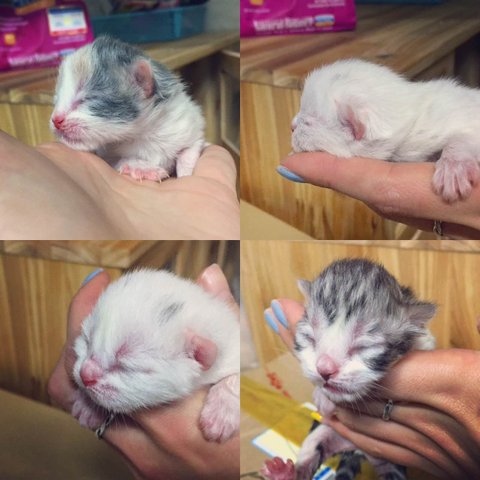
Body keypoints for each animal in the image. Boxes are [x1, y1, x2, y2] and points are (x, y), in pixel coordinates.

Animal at [51, 36, 205, 182]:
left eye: (87, 99)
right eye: (56, 99)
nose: (55, 120)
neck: (141, 134)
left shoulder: (186, 126)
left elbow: (190, 149)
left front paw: (185, 171)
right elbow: (119, 160)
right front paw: (141, 167)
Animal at [71, 269, 239, 443]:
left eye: (127, 366)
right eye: (87, 341)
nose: (84, 375)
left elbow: (234, 378)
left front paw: (221, 414)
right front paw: (87, 406)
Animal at [263, 259, 436, 480]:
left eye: (363, 347)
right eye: (310, 338)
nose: (325, 369)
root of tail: (356, 451)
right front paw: (322, 396)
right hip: (324, 431)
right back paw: (283, 472)